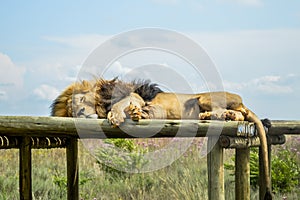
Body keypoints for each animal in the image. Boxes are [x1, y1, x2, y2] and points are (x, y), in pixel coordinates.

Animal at [51, 77, 272, 199]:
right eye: (71, 112)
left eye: (80, 99)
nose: (80, 113)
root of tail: (241, 101)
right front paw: (136, 114)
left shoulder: (134, 96)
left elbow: (120, 106)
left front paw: (121, 114)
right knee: (240, 115)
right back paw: (220, 116)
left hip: (204, 98)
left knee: (229, 112)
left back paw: (215, 115)